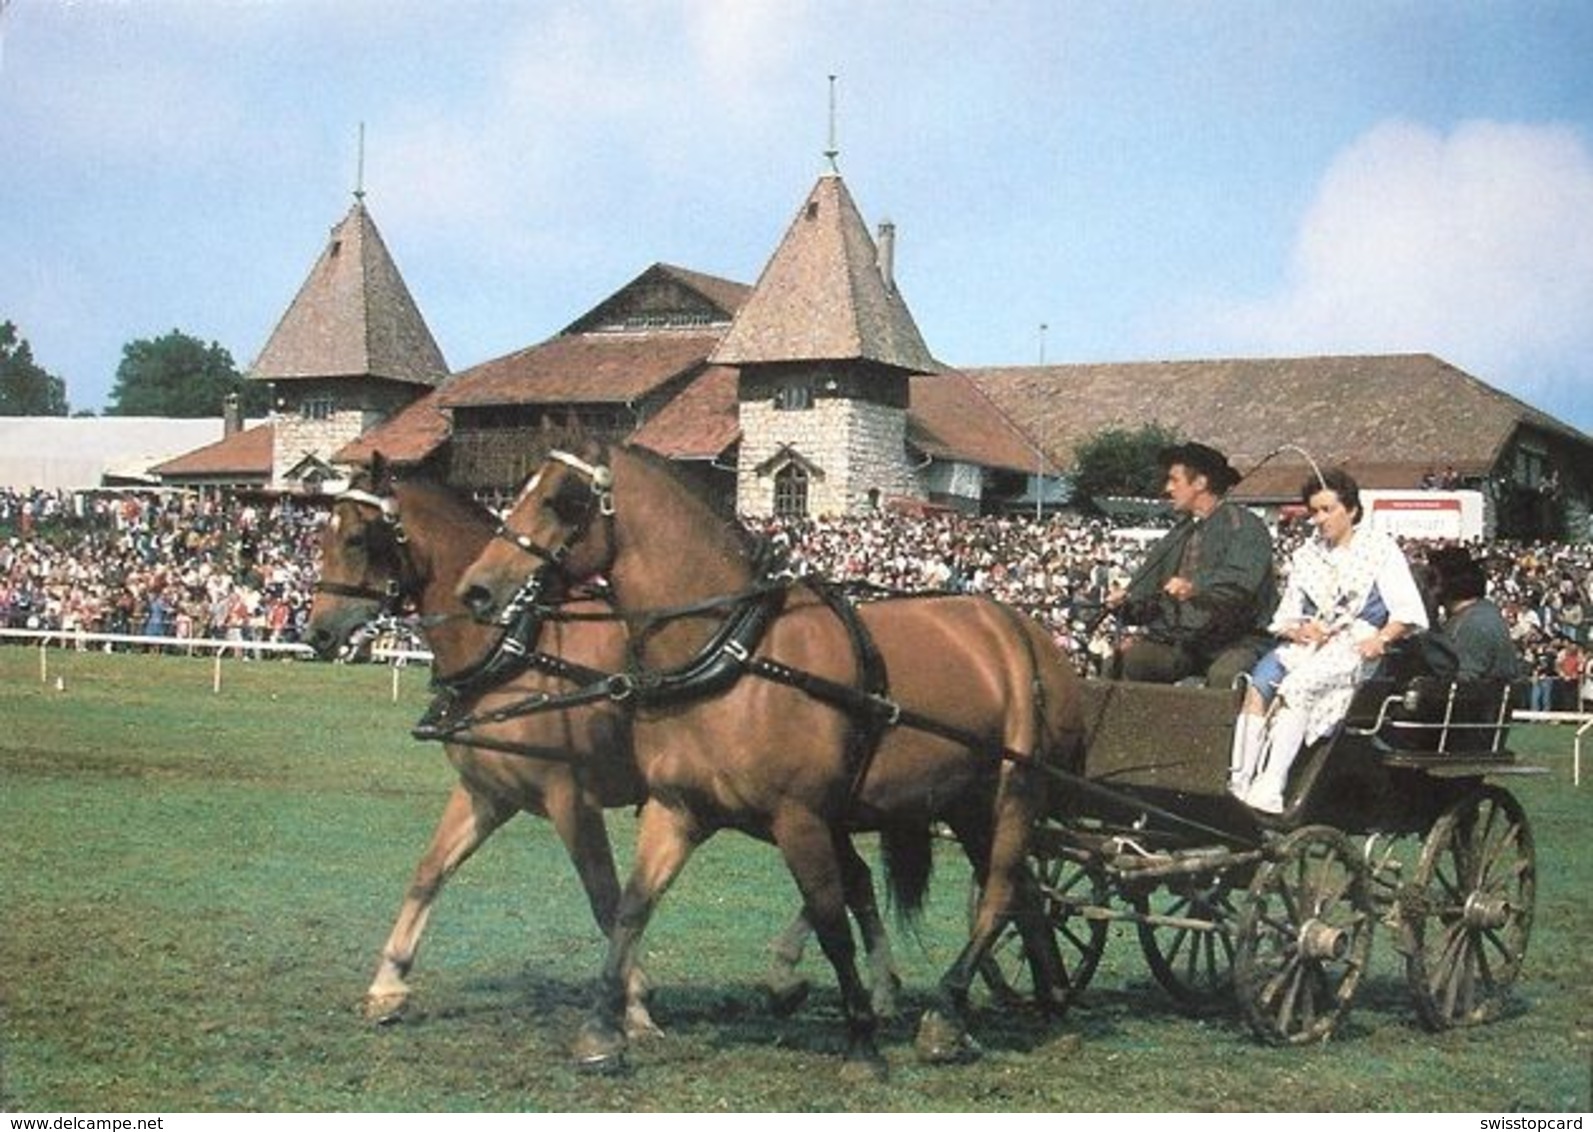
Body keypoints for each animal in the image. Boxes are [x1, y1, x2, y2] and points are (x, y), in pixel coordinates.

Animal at [301, 455, 898, 1031]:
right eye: (322, 537)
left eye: (357, 539)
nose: (317, 633)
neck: (516, 649)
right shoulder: (486, 793)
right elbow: (428, 872)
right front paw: (388, 985)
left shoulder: (571, 797)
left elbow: (606, 898)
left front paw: (634, 1002)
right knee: (853, 878)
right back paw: (839, 982)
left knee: (842, 879)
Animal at [455, 442, 1089, 1082]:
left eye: (561, 500)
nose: (477, 589)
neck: (735, 651)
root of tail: (1030, 633)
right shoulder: (676, 809)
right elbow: (632, 907)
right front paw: (602, 1029)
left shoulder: (800, 818)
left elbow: (832, 922)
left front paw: (862, 1041)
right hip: (966, 802)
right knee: (1026, 894)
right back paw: (1048, 1000)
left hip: (1017, 793)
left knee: (1000, 893)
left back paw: (947, 1011)